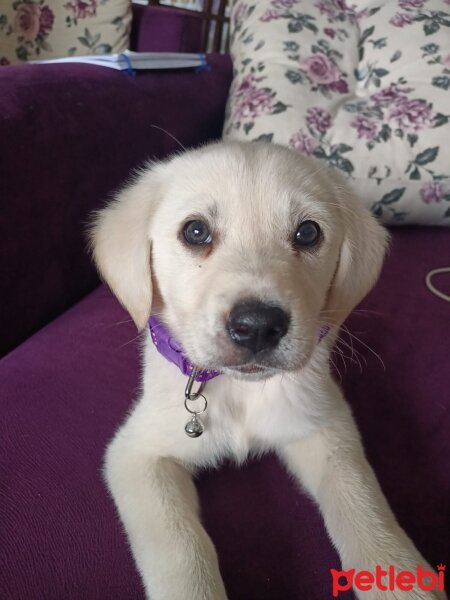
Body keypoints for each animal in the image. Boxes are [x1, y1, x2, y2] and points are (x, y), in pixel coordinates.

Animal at [90, 142, 442, 600]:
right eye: (196, 232)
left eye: (308, 233)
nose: (257, 326)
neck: (241, 392)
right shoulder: (137, 455)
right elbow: (180, 547)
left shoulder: (326, 426)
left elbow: (361, 500)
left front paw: (400, 578)